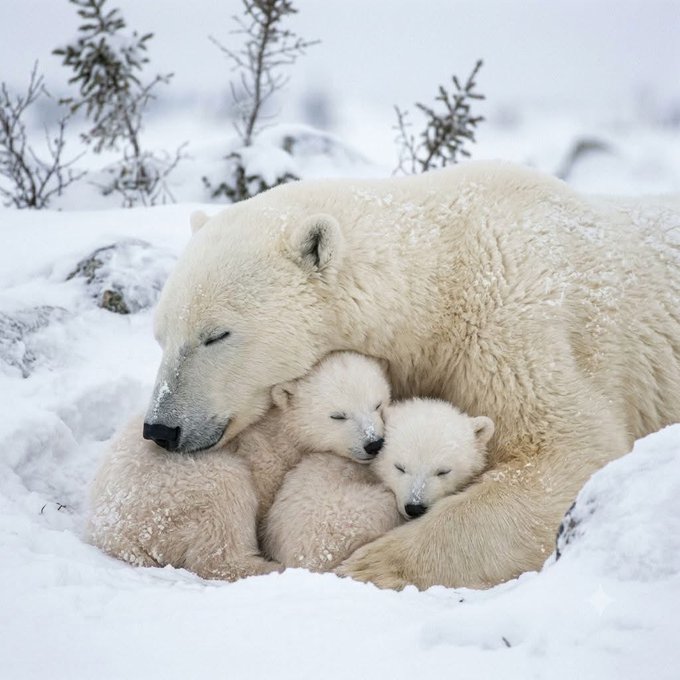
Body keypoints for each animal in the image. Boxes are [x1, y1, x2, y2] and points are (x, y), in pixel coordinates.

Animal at [88, 352, 387, 580]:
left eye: (378, 404)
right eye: (338, 416)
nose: (374, 443)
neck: (277, 424)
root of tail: (112, 534)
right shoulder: (266, 455)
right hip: (172, 494)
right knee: (222, 517)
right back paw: (268, 566)